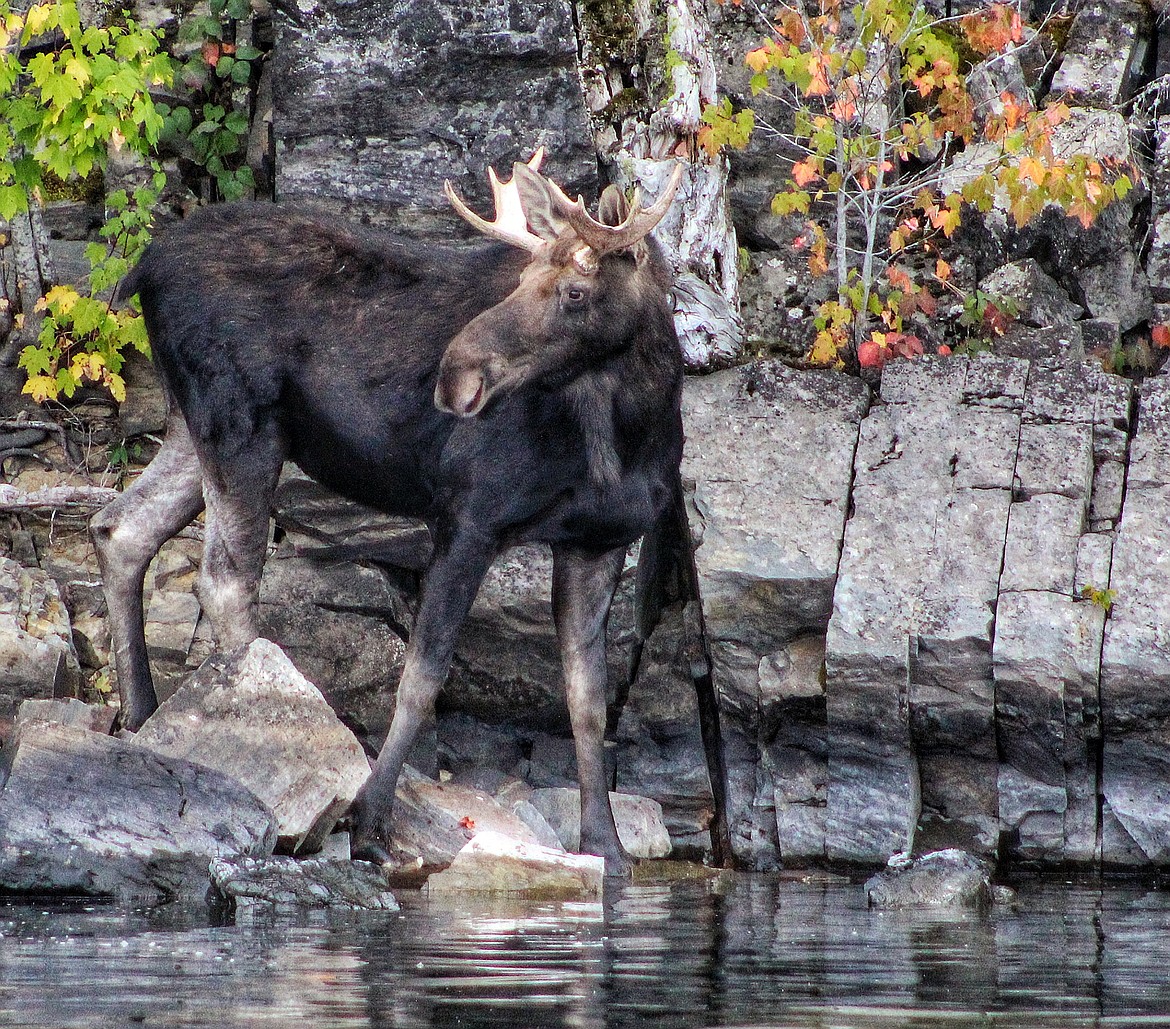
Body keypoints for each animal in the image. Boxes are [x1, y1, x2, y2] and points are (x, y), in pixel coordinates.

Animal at [98, 154, 692, 875]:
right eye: (522, 278)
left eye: (576, 292)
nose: (456, 373)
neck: (628, 433)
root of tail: (143, 268)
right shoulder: (470, 515)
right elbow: (422, 675)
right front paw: (371, 823)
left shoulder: (598, 540)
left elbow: (588, 702)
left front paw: (605, 845)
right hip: (240, 422)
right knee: (225, 580)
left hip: (195, 424)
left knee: (124, 526)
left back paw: (140, 713)